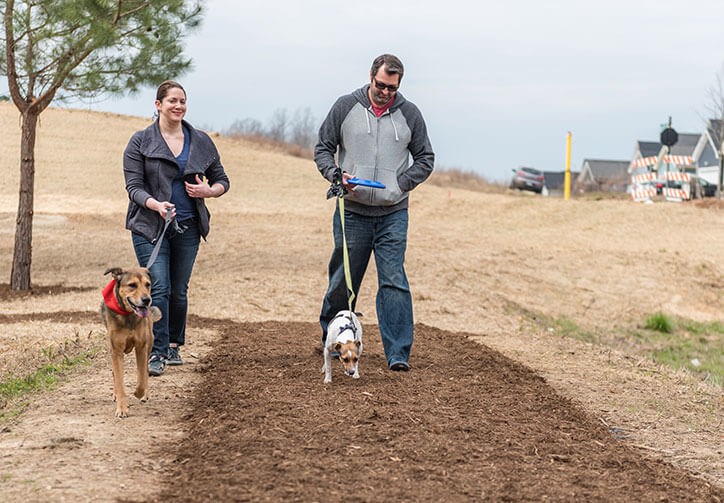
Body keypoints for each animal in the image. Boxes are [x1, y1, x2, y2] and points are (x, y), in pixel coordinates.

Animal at [99, 268, 160, 418]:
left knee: (145, 370)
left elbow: (142, 377)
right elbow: (119, 380)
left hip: (149, 343)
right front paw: (121, 408)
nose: (147, 300)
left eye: (148, 284)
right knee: (114, 374)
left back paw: (145, 395)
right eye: (132, 285)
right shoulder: (116, 350)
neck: (128, 315)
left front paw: (139, 393)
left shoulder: (141, 347)